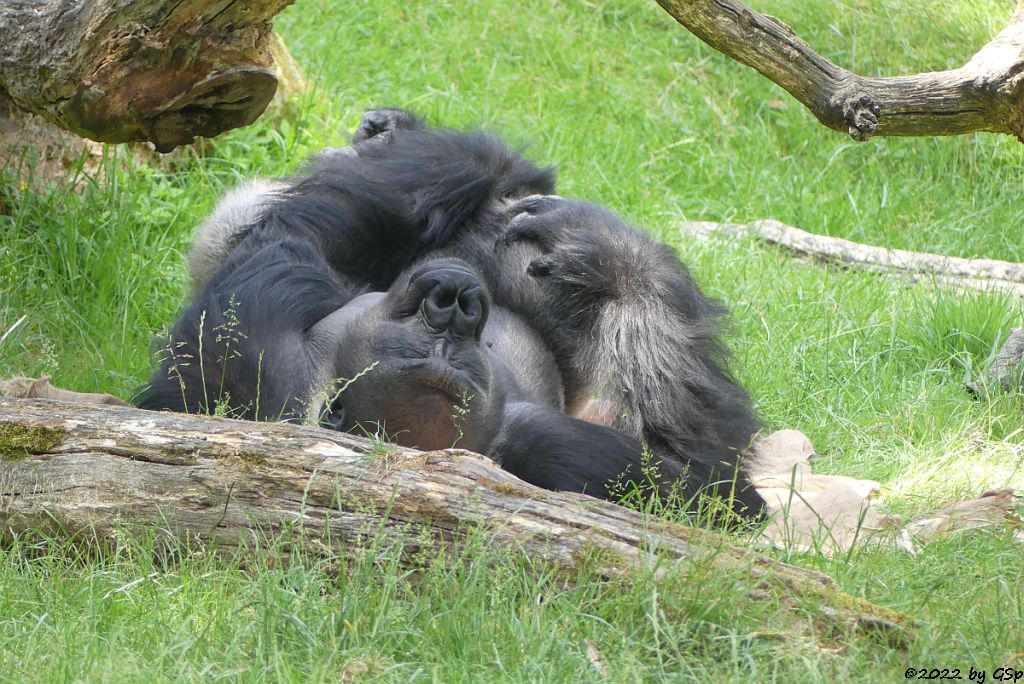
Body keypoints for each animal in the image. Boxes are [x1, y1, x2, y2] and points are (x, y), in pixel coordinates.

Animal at [140, 109, 770, 518]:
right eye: (429, 336)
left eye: (456, 353)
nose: (456, 305)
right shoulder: (262, 352)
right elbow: (711, 493)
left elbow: (712, 491)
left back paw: (611, 258)